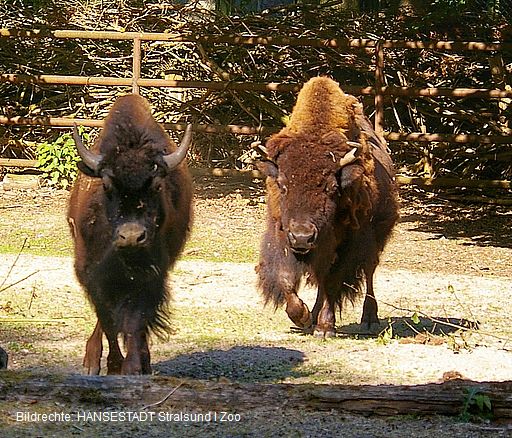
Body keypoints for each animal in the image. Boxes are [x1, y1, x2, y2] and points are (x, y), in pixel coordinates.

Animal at [69, 94, 193, 374]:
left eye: (157, 185)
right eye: (106, 184)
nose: (132, 236)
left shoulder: (151, 277)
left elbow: (135, 322)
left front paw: (134, 366)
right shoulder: (91, 274)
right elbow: (108, 320)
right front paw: (114, 365)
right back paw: (92, 361)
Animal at [258, 77, 398, 338]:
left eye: (332, 187)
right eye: (282, 185)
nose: (302, 237)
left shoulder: (348, 243)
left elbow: (333, 282)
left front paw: (325, 328)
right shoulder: (281, 233)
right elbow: (286, 278)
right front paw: (302, 317)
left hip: (376, 237)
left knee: (369, 272)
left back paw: (369, 320)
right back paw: (313, 315)